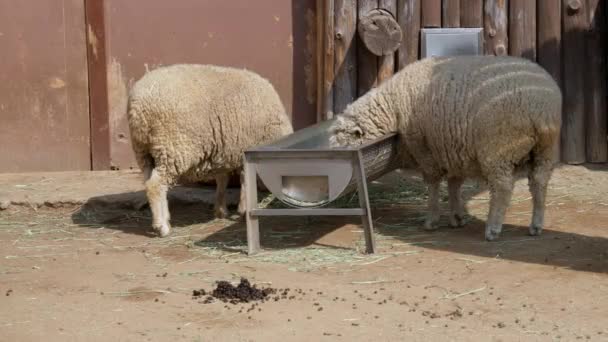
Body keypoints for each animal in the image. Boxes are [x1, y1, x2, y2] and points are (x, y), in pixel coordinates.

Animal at [127, 64, 294, 236]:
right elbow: (244, 180)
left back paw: (164, 219)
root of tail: (140, 103)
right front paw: (243, 210)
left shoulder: (224, 151)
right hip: (172, 149)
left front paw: (221, 210)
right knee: (156, 185)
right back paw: (162, 227)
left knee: (149, 182)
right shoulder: (245, 150)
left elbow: (222, 179)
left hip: (144, 151)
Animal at [330, 55, 564, 240]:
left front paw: (432, 219)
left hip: (498, 148)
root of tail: (541, 105)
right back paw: (536, 225)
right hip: (545, 149)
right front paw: (457, 216)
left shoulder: (423, 147)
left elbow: (434, 184)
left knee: (502, 187)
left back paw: (493, 228)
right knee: (539, 182)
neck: (393, 107)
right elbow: (454, 184)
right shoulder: (453, 149)